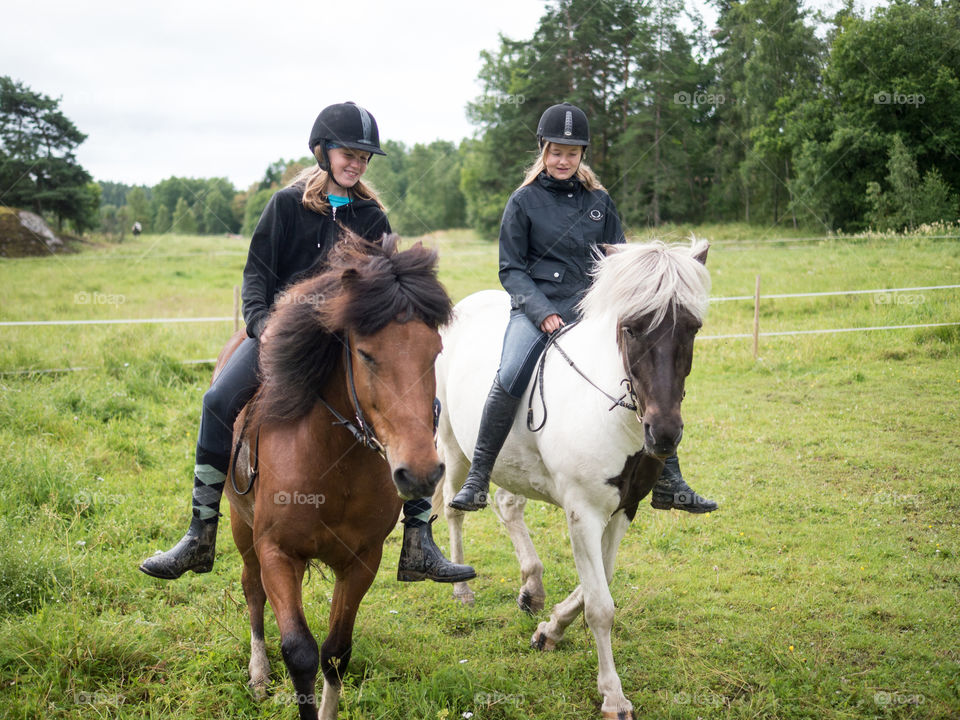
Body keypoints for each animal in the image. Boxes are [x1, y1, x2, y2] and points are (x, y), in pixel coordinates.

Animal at [218, 233, 454, 716]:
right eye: (365, 354)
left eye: (435, 353)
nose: (421, 473)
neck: (332, 465)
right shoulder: (276, 552)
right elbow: (300, 652)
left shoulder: (361, 561)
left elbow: (335, 651)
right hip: (240, 526)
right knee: (251, 590)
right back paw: (258, 674)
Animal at [438, 240, 708, 720]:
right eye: (632, 329)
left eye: (692, 328)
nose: (663, 434)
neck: (608, 407)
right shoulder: (583, 512)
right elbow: (600, 606)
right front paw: (613, 696)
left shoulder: (622, 510)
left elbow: (601, 579)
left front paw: (550, 629)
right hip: (453, 446)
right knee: (454, 507)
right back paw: (463, 590)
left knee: (507, 506)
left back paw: (532, 588)